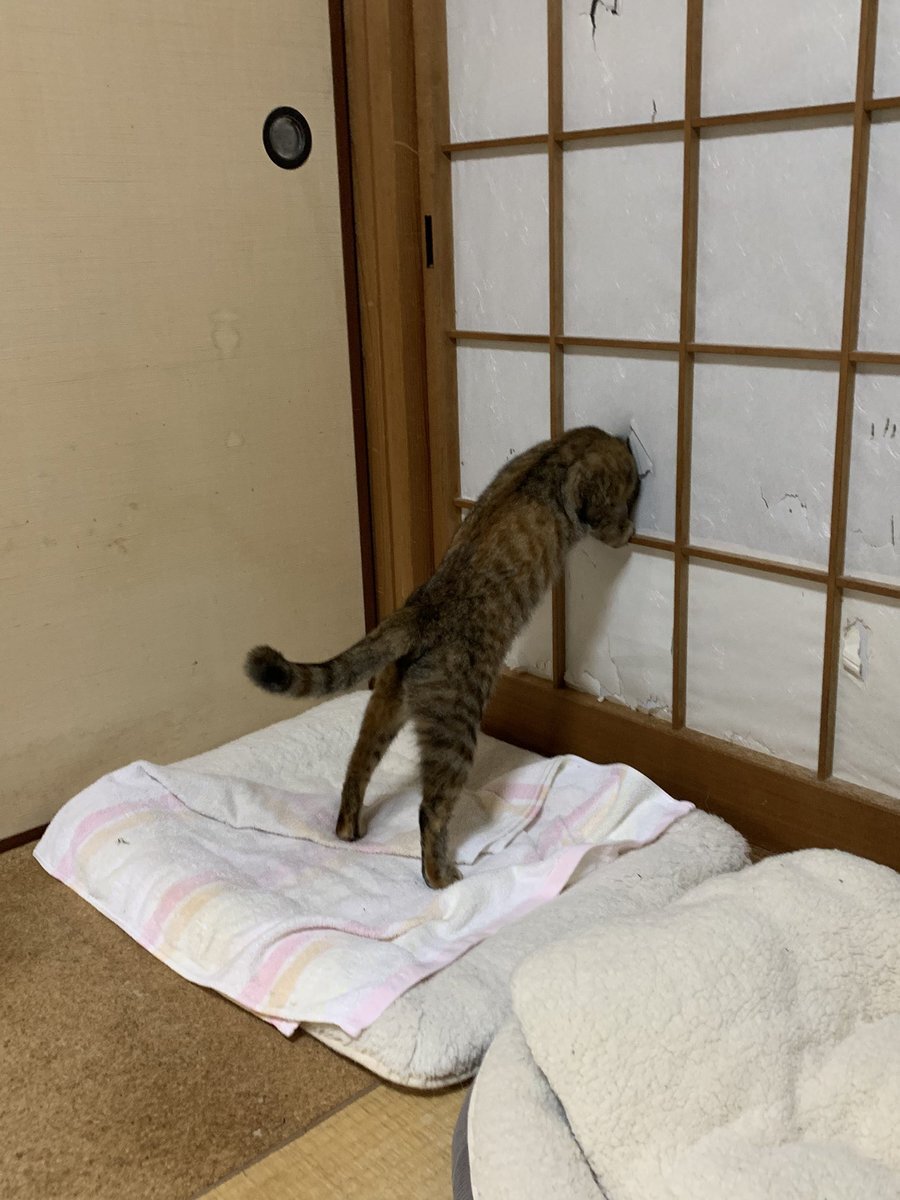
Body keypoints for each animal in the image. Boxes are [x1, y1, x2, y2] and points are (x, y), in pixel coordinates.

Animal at [245, 426, 639, 889]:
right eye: (633, 484)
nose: (638, 486)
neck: (562, 451)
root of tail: (417, 614)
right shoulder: (590, 496)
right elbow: (607, 523)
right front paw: (627, 526)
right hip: (456, 730)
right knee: (429, 811)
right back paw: (441, 876)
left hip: (385, 706)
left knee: (357, 765)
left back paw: (349, 827)